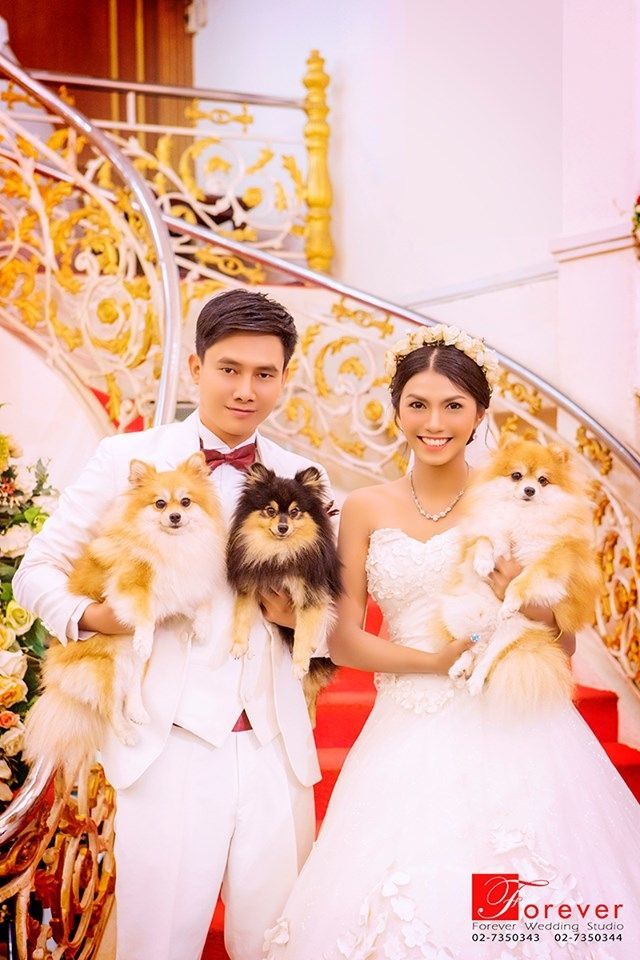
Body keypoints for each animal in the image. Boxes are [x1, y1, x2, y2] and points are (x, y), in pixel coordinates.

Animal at [24, 452, 225, 782]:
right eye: (160, 504)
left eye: (185, 502)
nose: (175, 517)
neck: (171, 544)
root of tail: (57, 682)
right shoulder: (131, 583)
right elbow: (143, 610)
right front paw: (145, 633)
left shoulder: (181, 586)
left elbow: (201, 601)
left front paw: (203, 626)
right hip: (107, 662)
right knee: (109, 706)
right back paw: (128, 732)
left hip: (133, 663)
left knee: (128, 692)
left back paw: (138, 712)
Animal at [226, 463, 341, 722]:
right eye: (270, 510)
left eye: (295, 512)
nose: (282, 527)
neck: (279, 553)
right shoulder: (250, 584)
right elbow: (242, 616)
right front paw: (238, 645)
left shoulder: (310, 596)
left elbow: (304, 631)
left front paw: (299, 663)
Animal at [433, 437, 600, 710]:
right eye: (517, 476)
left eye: (543, 480)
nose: (529, 490)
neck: (521, 517)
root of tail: (488, 634)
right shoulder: (485, 531)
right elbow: (484, 540)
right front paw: (483, 563)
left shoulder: (550, 562)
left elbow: (522, 580)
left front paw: (510, 602)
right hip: (459, 614)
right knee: (471, 648)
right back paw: (460, 667)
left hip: (513, 632)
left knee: (487, 659)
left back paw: (474, 680)